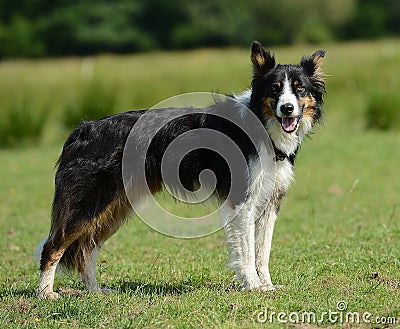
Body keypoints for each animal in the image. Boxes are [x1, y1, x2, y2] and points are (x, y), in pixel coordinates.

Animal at [36, 40, 326, 298]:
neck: (262, 123)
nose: (287, 108)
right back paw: (45, 293)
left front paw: (267, 286)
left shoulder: (269, 201)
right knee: (53, 246)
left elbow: (262, 252)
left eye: (300, 90)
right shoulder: (242, 200)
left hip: (113, 208)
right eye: (275, 90)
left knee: (87, 250)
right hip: (89, 203)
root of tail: (82, 130)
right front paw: (253, 286)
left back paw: (96, 292)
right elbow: (246, 250)